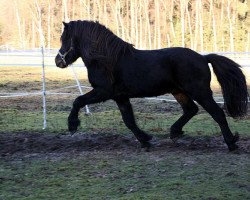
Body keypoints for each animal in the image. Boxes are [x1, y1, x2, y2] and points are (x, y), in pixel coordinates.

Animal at [55, 20, 248, 152]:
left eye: (64, 39)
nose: (58, 61)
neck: (106, 60)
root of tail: (203, 57)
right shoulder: (120, 96)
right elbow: (129, 120)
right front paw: (145, 139)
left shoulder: (103, 92)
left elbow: (78, 101)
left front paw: (72, 125)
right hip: (179, 91)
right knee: (191, 110)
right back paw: (175, 132)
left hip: (200, 91)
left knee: (217, 113)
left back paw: (231, 143)